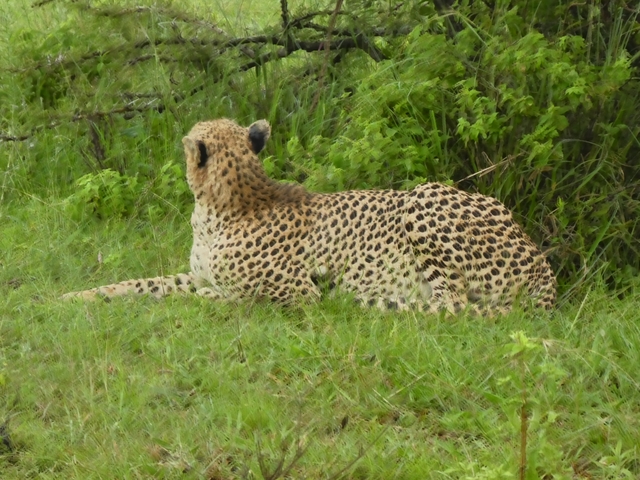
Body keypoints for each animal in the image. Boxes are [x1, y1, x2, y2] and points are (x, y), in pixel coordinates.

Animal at [62, 117, 557, 316]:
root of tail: (542, 262)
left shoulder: (299, 293)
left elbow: (242, 298)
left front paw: (207, 301)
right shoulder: (197, 273)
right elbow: (141, 283)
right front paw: (72, 297)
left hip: (423, 197)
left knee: (450, 304)